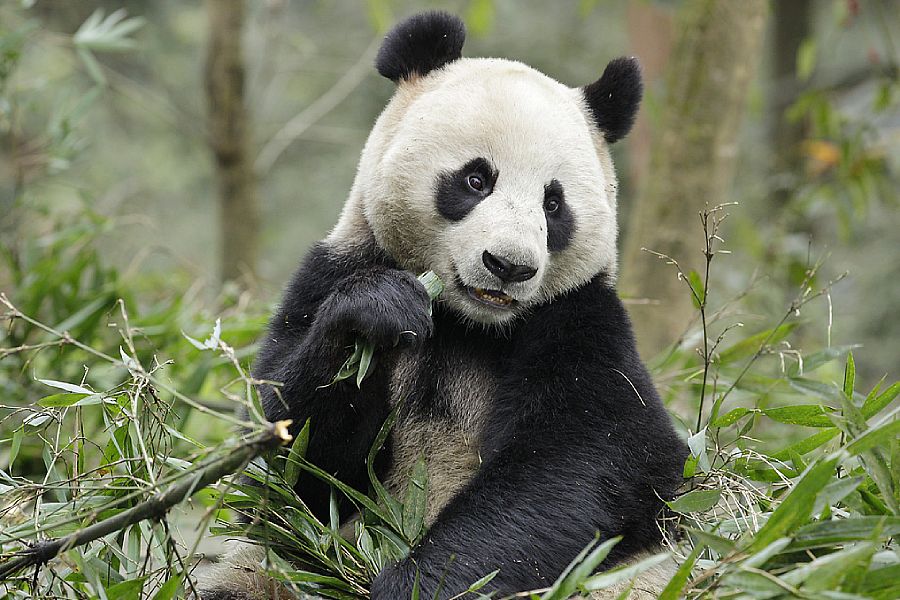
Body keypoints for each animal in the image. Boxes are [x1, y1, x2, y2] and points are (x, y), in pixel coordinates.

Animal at [202, 11, 688, 600]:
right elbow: (290, 461)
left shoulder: (578, 317)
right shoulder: (332, 272)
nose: (510, 265)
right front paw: (378, 310)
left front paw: (414, 583)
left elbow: (591, 455)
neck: (470, 322)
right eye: (476, 178)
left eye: (554, 204)